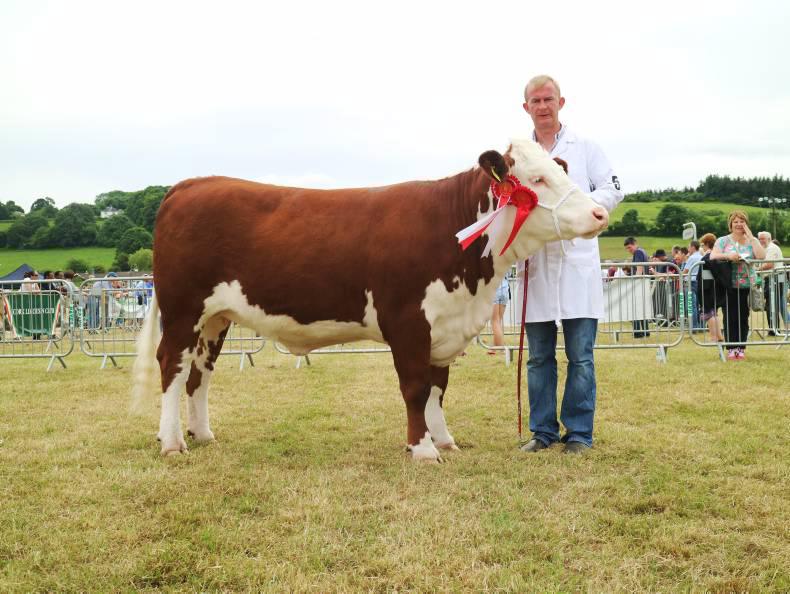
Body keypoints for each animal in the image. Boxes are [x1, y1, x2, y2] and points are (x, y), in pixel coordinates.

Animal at [132, 138, 609, 461]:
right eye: (537, 180)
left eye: (561, 172)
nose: (599, 213)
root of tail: (190, 184)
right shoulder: (408, 321)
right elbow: (415, 388)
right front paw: (422, 449)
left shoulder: (443, 326)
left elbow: (438, 388)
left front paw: (444, 440)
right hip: (183, 310)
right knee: (172, 367)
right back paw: (172, 442)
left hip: (215, 318)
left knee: (200, 374)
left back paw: (202, 433)